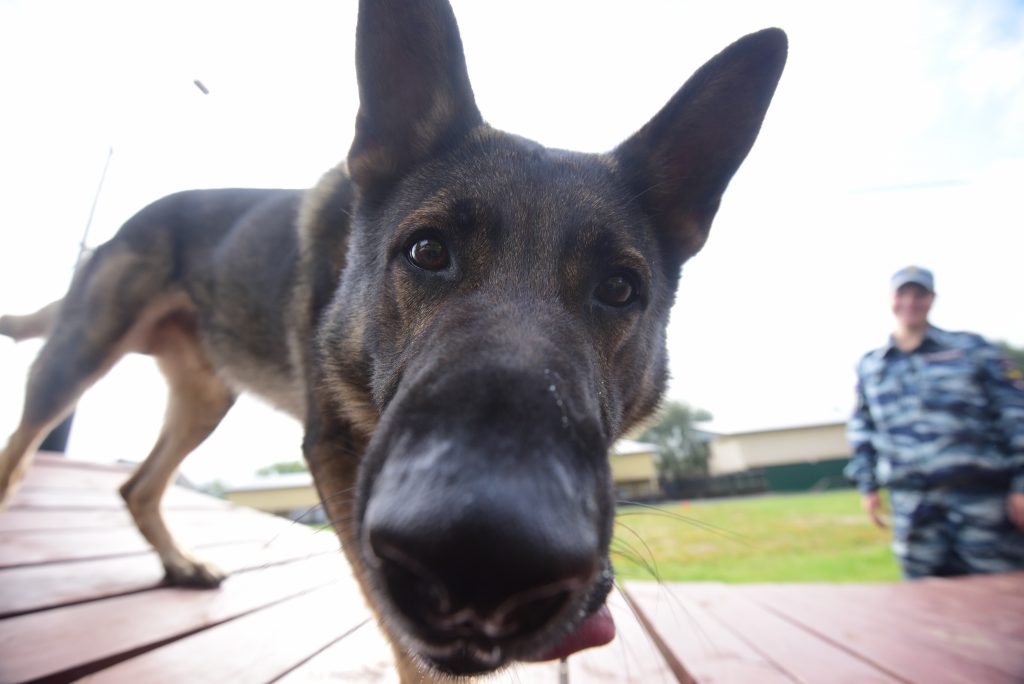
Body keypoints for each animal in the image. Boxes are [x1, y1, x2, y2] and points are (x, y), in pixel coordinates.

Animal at [0, 1, 786, 679]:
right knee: (20, 457)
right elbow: (412, 650)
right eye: (426, 251)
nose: (484, 559)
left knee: (137, 486)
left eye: (620, 289)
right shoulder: (337, 456)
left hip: (203, 402)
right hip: (73, 362)